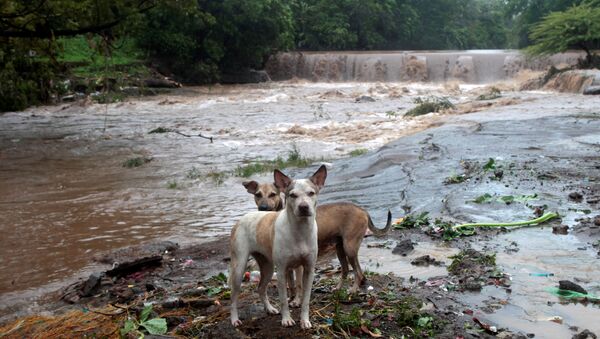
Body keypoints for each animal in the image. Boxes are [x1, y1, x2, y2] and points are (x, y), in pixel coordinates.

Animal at [229, 166, 326, 330]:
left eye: (311, 193)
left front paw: (305, 321)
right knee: (233, 296)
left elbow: (305, 299)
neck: (299, 231)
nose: (303, 207)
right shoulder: (281, 271)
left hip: (267, 266)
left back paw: (269, 309)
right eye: (292, 195)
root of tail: (240, 219)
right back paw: (234, 319)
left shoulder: (308, 269)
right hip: (239, 267)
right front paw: (286, 319)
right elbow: (284, 300)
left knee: (261, 288)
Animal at [241, 179, 392, 294]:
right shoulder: (286, 264)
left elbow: (297, 285)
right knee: (347, 270)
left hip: (349, 247)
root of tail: (362, 210)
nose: (263, 208)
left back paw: (353, 290)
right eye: (258, 194)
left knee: (357, 272)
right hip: (341, 249)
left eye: (272, 194)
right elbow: (291, 284)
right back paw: (340, 288)